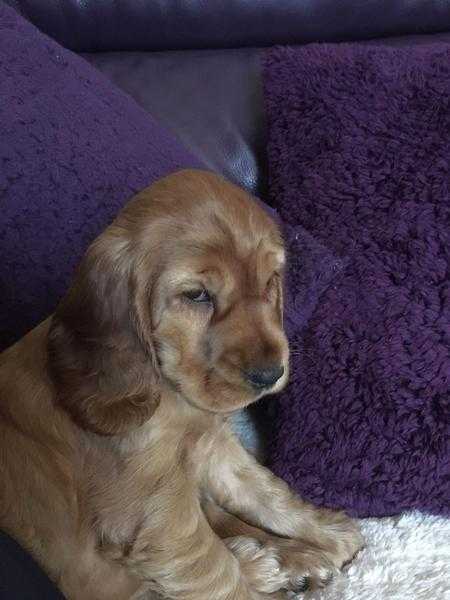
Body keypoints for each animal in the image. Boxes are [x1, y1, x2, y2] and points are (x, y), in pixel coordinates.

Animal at [0, 170, 362, 600]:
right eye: (196, 295)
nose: (270, 374)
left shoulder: (211, 443)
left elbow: (261, 489)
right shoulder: (156, 514)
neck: (171, 397)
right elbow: (216, 572)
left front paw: (328, 531)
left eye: (270, 282)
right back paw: (267, 563)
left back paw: (295, 560)